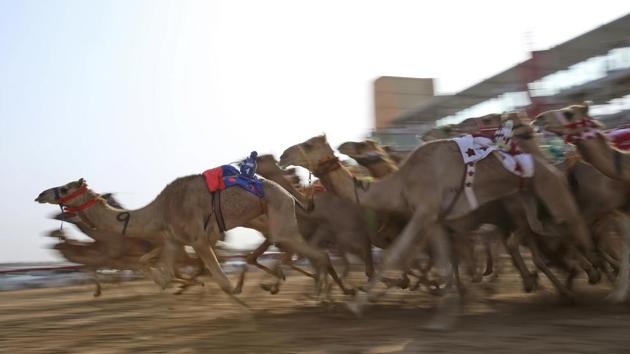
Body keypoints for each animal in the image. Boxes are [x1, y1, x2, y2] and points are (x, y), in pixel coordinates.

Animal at [35, 174, 334, 304]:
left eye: (65, 188)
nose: (41, 194)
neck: (159, 210)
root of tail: (291, 194)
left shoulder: (197, 238)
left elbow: (223, 282)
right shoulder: (173, 241)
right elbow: (158, 274)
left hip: (279, 214)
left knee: (313, 252)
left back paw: (321, 294)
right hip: (266, 219)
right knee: (304, 250)